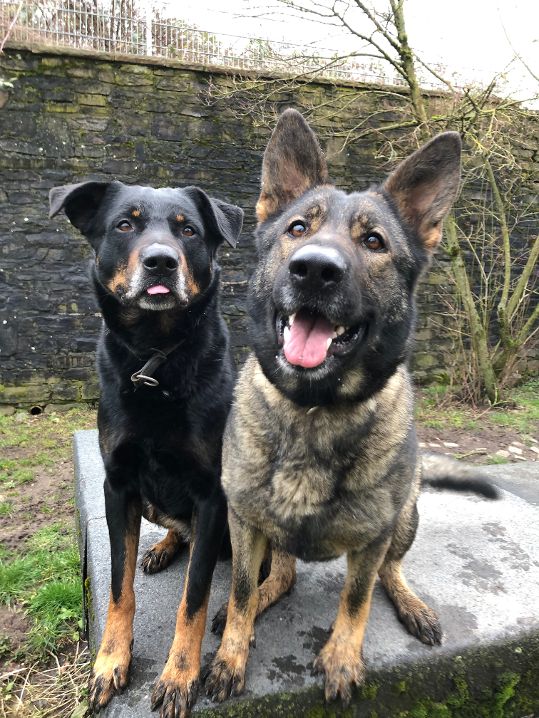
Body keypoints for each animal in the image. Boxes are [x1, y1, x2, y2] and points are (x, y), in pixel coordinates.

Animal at [49, 180, 243, 717]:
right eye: (124, 224)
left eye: (188, 230)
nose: (161, 262)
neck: (155, 362)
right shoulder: (118, 486)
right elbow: (119, 588)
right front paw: (110, 662)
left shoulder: (212, 495)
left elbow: (193, 598)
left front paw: (179, 676)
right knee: (177, 532)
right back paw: (162, 548)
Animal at [203, 109, 497, 706]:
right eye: (297, 229)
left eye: (374, 241)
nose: (314, 269)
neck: (314, 409)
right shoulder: (244, 520)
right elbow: (242, 590)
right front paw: (231, 656)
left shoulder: (373, 536)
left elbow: (357, 597)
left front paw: (341, 656)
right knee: (282, 576)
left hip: (405, 516)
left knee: (389, 571)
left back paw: (411, 603)